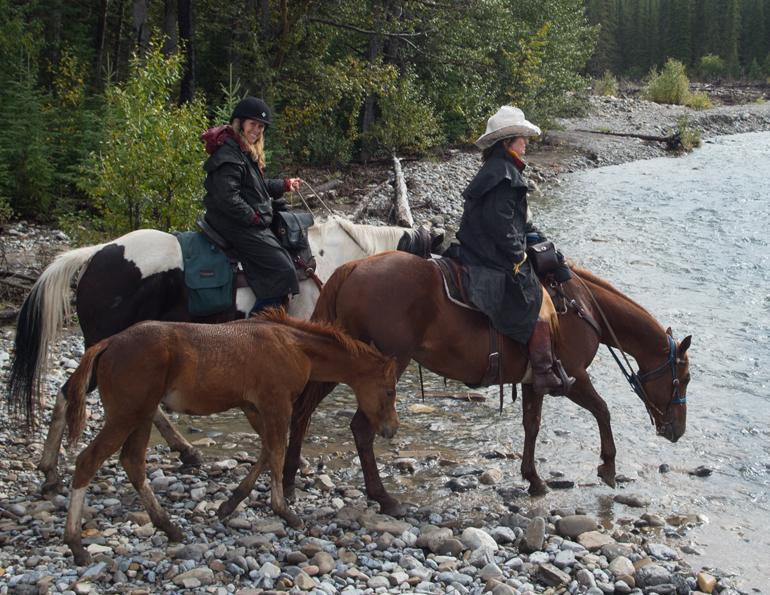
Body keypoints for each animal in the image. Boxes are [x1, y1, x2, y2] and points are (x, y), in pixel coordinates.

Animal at [62, 309, 399, 566]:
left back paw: (169, 527)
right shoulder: (276, 403)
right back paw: (76, 544)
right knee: (88, 461)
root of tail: (109, 342)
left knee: (133, 462)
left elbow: (267, 450)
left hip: (141, 416)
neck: (293, 345)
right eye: (390, 391)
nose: (391, 429)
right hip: (127, 415)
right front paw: (285, 511)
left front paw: (230, 504)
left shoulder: (252, 407)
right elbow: (277, 452)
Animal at [282, 251, 692, 516]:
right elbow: (603, 411)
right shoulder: (574, 378)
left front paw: (533, 479)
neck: (582, 306)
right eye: (684, 378)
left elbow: (532, 425)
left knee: (302, 411)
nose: (676, 431)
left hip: (339, 358)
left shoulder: (535, 382)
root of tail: (352, 268)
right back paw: (384, 498)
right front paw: (607, 468)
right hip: (380, 370)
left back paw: (288, 481)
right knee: (360, 428)